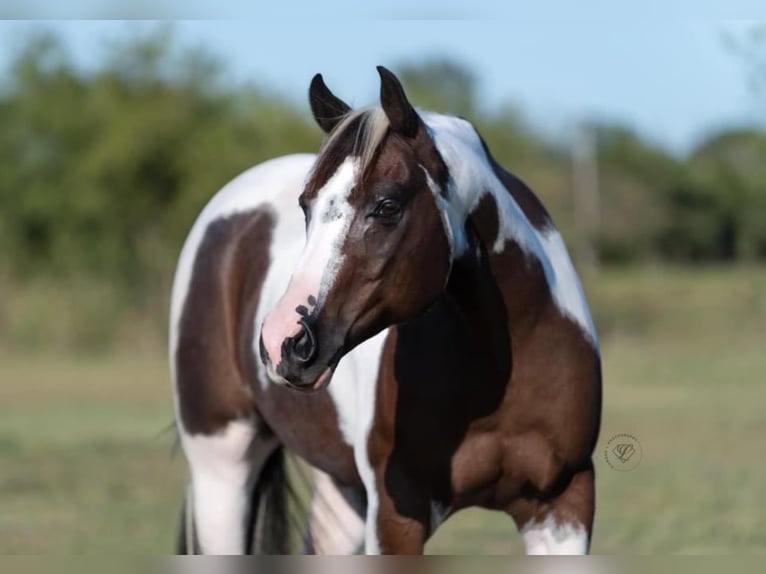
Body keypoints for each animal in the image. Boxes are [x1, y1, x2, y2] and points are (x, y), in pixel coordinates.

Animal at [171, 67, 604, 560]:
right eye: (306, 206)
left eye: (388, 206)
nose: (284, 342)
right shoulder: (397, 514)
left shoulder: (564, 505)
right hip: (221, 466)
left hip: (342, 489)